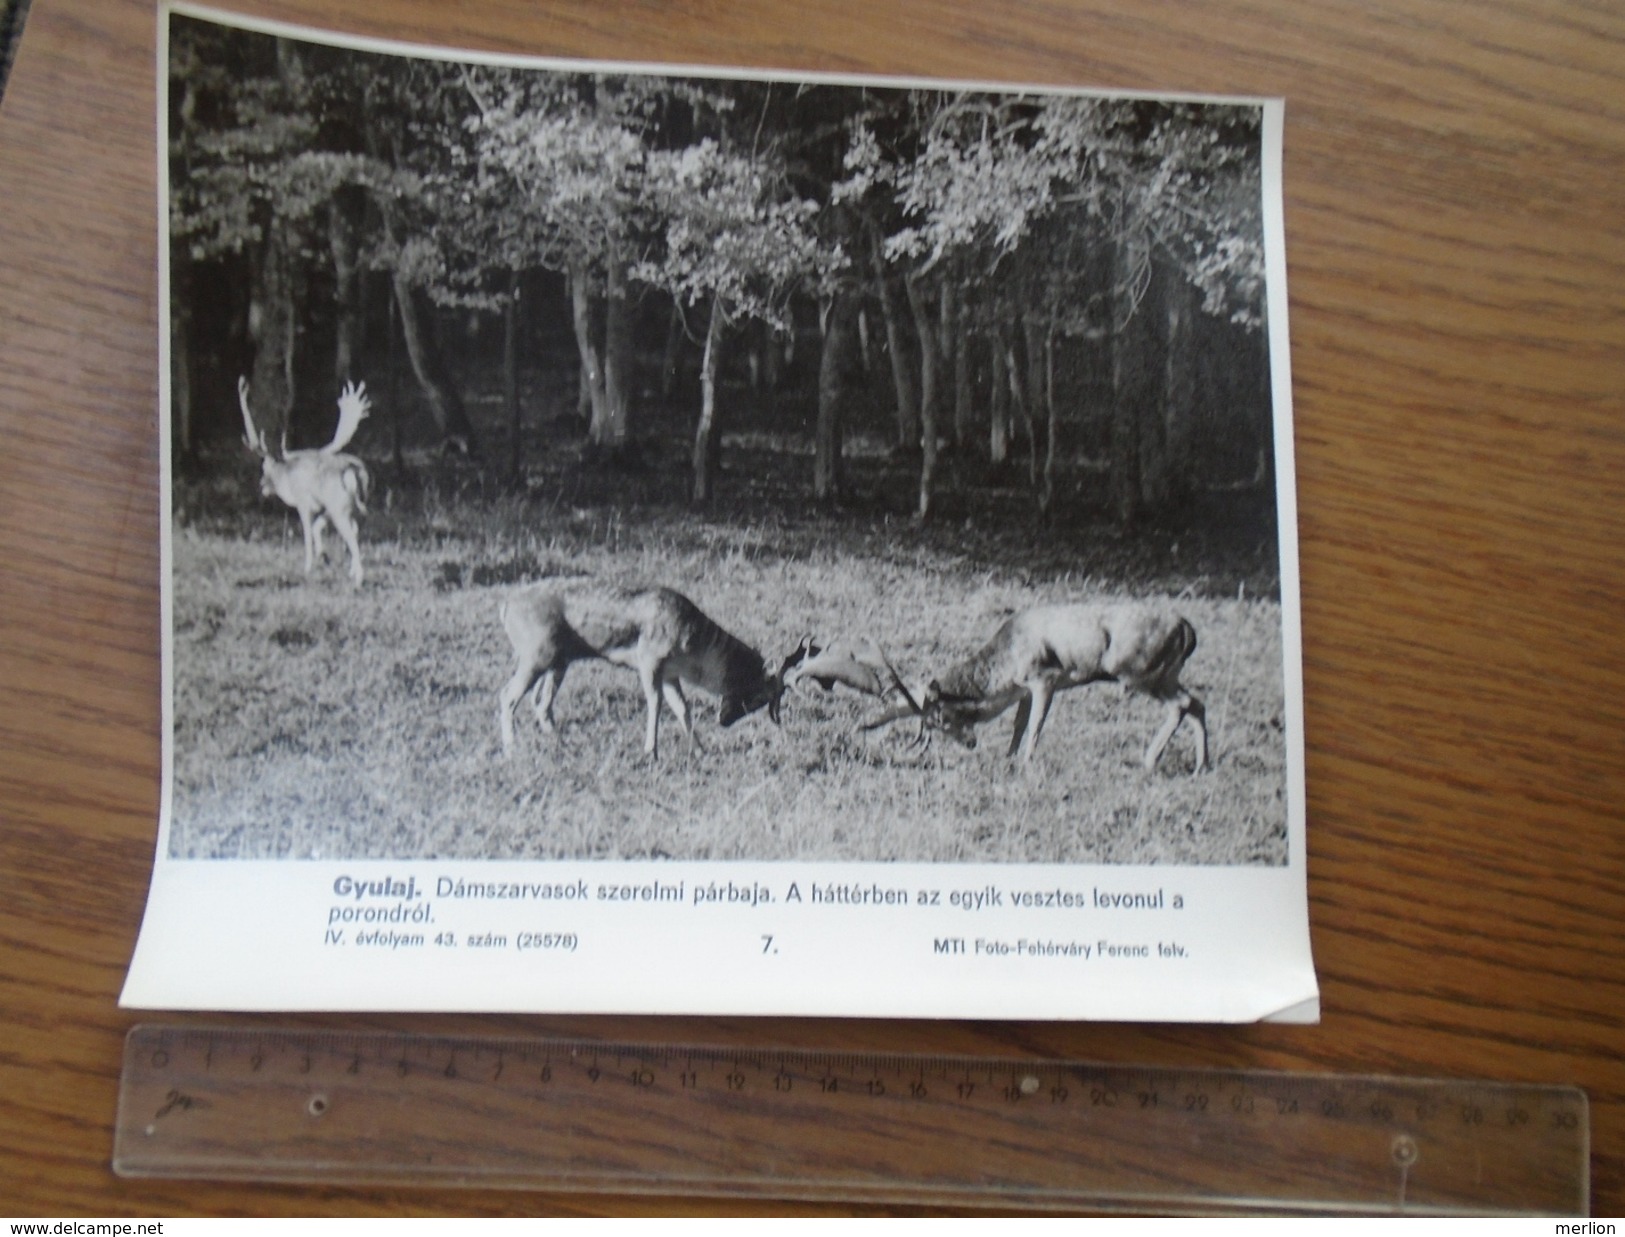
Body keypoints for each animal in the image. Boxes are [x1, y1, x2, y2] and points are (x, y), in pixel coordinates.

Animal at [238, 373, 372, 585]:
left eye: (264, 468)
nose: (262, 485)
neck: (286, 478)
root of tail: (352, 471)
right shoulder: (323, 506)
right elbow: (317, 528)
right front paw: (324, 557)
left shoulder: (304, 503)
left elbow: (307, 534)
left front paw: (308, 567)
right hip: (354, 505)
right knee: (357, 530)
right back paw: (352, 570)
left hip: (340, 506)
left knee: (351, 534)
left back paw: (358, 578)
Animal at [494, 581, 799, 763]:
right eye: (759, 696)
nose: (723, 721)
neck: (693, 654)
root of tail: (505, 607)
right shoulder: (649, 659)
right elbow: (655, 703)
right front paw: (651, 751)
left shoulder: (670, 673)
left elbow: (682, 708)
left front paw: (700, 749)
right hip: (536, 653)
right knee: (508, 695)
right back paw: (511, 749)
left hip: (557, 661)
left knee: (541, 703)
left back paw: (561, 744)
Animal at [786, 601, 1209, 773]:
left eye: (941, 720)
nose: (970, 743)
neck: (1005, 664)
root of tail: (1189, 631)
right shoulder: (1022, 689)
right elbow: (1019, 725)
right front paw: (1007, 758)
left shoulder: (1044, 676)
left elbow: (1035, 727)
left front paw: (1025, 763)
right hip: (1164, 674)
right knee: (1197, 702)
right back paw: (1201, 764)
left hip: (1137, 671)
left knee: (1182, 704)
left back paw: (1149, 760)